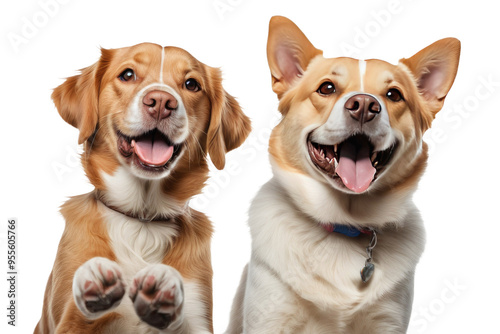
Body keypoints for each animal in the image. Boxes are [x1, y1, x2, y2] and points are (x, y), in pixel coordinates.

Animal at [227, 17, 460, 332]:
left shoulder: (388, 321)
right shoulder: (269, 317)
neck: (345, 222)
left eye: (394, 95)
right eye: (326, 88)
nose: (364, 106)